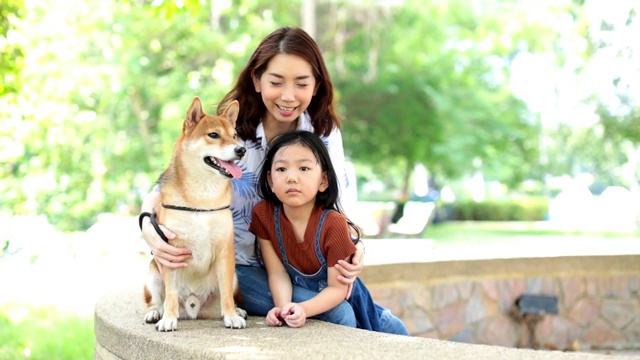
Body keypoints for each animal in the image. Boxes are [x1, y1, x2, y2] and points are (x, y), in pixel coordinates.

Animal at [142, 96, 248, 332]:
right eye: (214, 135)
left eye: (234, 135)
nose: (241, 150)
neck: (202, 201)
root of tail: (193, 308)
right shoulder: (172, 252)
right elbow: (171, 294)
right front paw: (169, 319)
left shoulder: (225, 251)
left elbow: (226, 294)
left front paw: (231, 316)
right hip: (152, 274)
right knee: (156, 300)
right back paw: (156, 313)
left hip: (235, 276)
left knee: (226, 296)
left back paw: (235, 311)